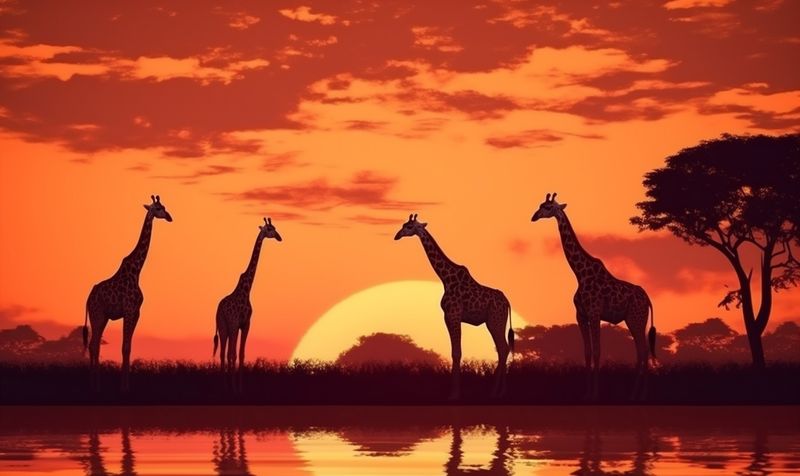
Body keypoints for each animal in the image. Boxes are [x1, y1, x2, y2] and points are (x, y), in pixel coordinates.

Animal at [84, 195, 173, 392]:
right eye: (158, 208)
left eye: (164, 207)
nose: (170, 217)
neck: (137, 270)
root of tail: (87, 299)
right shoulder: (129, 310)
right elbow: (124, 347)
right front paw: (123, 388)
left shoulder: (136, 313)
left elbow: (129, 347)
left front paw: (127, 385)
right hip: (97, 314)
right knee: (93, 345)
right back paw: (95, 385)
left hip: (103, 317)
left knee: (94, 345)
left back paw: (95, 384)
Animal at [213, 217, 282, 391]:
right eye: (270, 229)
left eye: (275, 228)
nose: (280, 237)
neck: (247, 289)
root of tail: (218, 309)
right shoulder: (239, 323)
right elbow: (236, 354)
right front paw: (236, 388)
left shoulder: (243, 325)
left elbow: (241, 354)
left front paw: (239, 387)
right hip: (226, 326)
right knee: (226, 353)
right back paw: (226, 386)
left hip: (226, 327)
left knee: (224, 353)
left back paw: (224, 385)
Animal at [395, 214, 514, 400]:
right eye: (403, 225)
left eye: (408, 226)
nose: (397, 236)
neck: (445, 278)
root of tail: (507, 302)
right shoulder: (448, 317)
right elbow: (454, 351)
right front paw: (454, 391)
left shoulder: (453, 315)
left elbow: (456, 352)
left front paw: (454, 393)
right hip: (495, 322)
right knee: (504, 349)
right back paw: (499, 391)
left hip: (495, 321)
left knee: (503, 348)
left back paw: (496, 392)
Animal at [531, 193, 656, 400]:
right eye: (540, 205)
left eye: (548, 207)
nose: (533, 217)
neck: (580, 274)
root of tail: (648, 300)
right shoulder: (581, 315)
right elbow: (587, 352)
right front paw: (586, 392)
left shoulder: (595, 313)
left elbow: (597, 351)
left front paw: (595, 393)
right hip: (635, 320)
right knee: (641, 351)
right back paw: (635, 393)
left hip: (636, 319)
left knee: (643, 351)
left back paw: (641, 394)